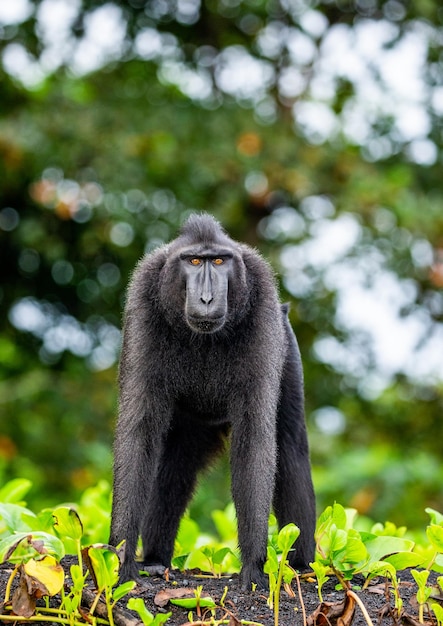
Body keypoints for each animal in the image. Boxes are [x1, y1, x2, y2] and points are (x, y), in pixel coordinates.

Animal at [109, 212, 318, 588]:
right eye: (194, 261)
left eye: (219, 261)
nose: (206, 298)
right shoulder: (143, 297)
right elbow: (139, 432)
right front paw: (121, 561)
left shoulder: (262, 300)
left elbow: (256, 438)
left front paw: (253, 566)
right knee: (174, 464)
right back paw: (155, 560)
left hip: (286, 345)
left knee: (290, 446)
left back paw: (301, 567)